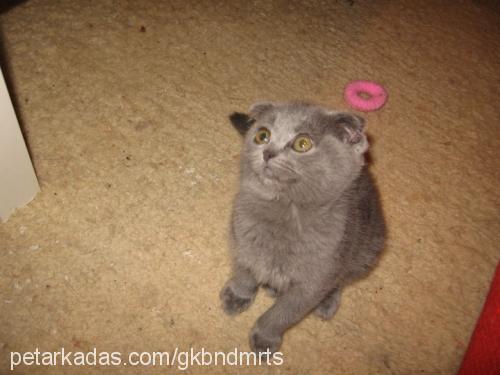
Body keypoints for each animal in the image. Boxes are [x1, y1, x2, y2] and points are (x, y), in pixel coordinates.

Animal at [220, 102, 386, 356]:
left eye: (302, 143)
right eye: (262, 135)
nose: (268, 152)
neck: (285, 211)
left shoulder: (315, 279)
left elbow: (285, 313)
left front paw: (265, 337)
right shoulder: (241, 237)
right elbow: (243, 272)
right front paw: (237, 295)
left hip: (368, 250)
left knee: (342, 279)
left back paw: (326, 301)